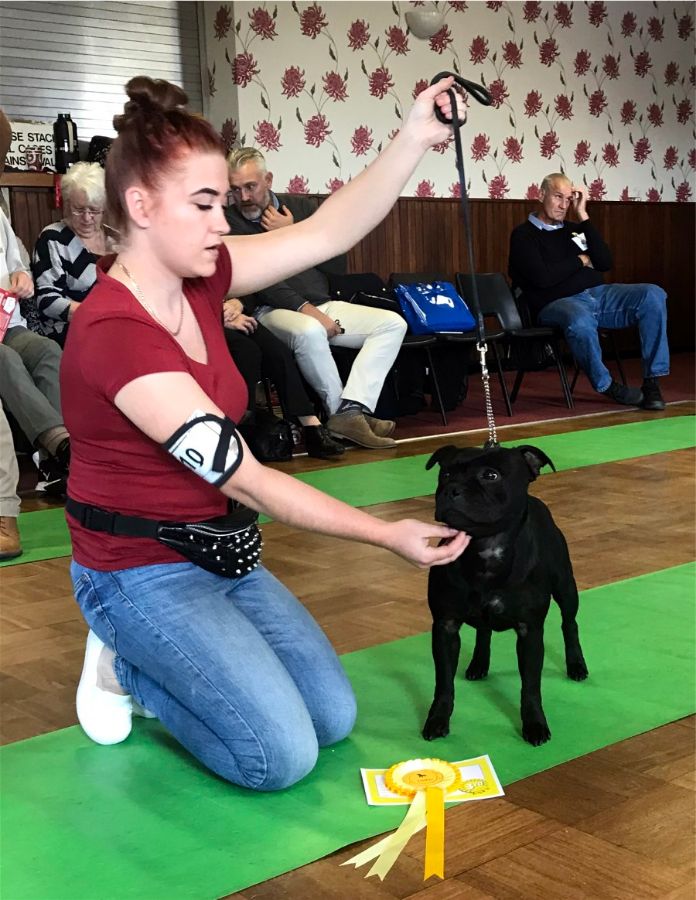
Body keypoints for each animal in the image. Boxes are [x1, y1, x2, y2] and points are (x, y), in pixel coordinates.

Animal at [422, 443, 588, 746]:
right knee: (483, 630)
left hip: (566, 586)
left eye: (491, 475)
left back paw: (576, 665)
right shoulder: (445, 626)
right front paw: (437, 720)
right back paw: (478, 663)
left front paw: (534, 724)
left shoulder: (529, 630)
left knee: (569, 623)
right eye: (446, 473)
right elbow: (444, 683)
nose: (451, 489)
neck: (486, 546)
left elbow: (530, 686)